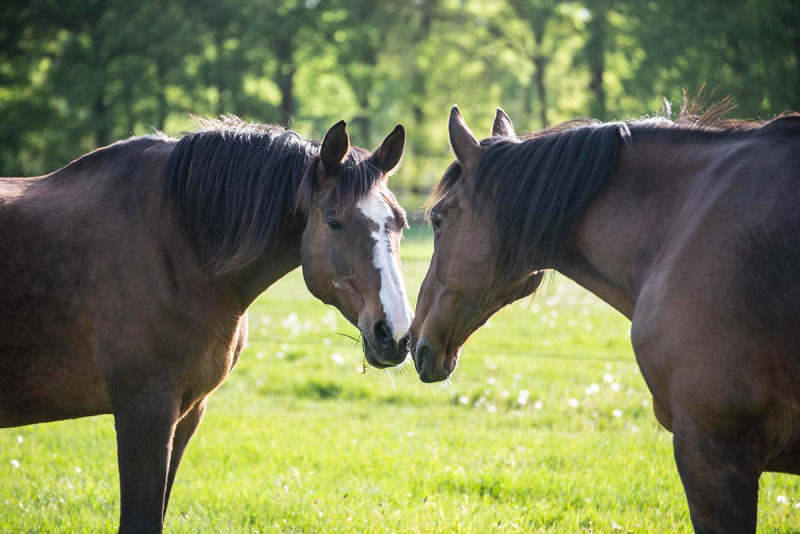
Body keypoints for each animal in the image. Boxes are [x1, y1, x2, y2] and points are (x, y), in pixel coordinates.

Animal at [0, 118, 412, 534]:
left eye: (401, 223)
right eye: (334, 222)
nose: (394, 333)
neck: (178, 245)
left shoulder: (186, 413)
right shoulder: (144, 410)